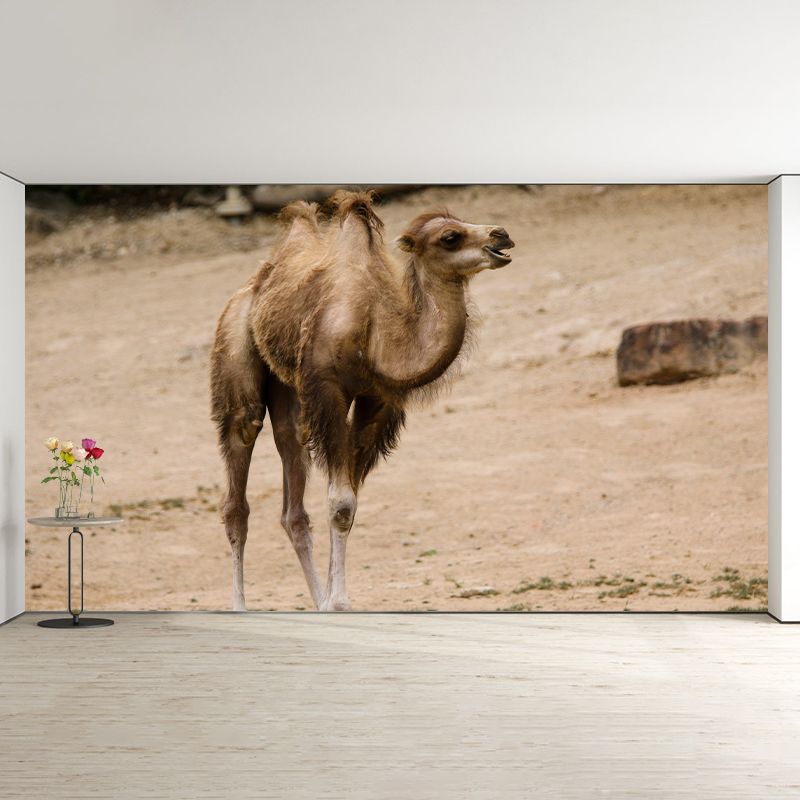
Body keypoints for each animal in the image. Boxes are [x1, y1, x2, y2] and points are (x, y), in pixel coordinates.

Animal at [210, 190, 514, 611]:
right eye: (450, 237)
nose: (501, 235)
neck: (375, 338)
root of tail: (254, 282)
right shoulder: (329, 392)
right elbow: (340, 503)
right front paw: (339, 602)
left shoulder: (376, 400)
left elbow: (348, 501)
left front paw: (332, 602)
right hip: (236, 347)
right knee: (239, 477)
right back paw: (239, 607)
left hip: (288, 389)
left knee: (292, 488)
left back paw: (316, 599)